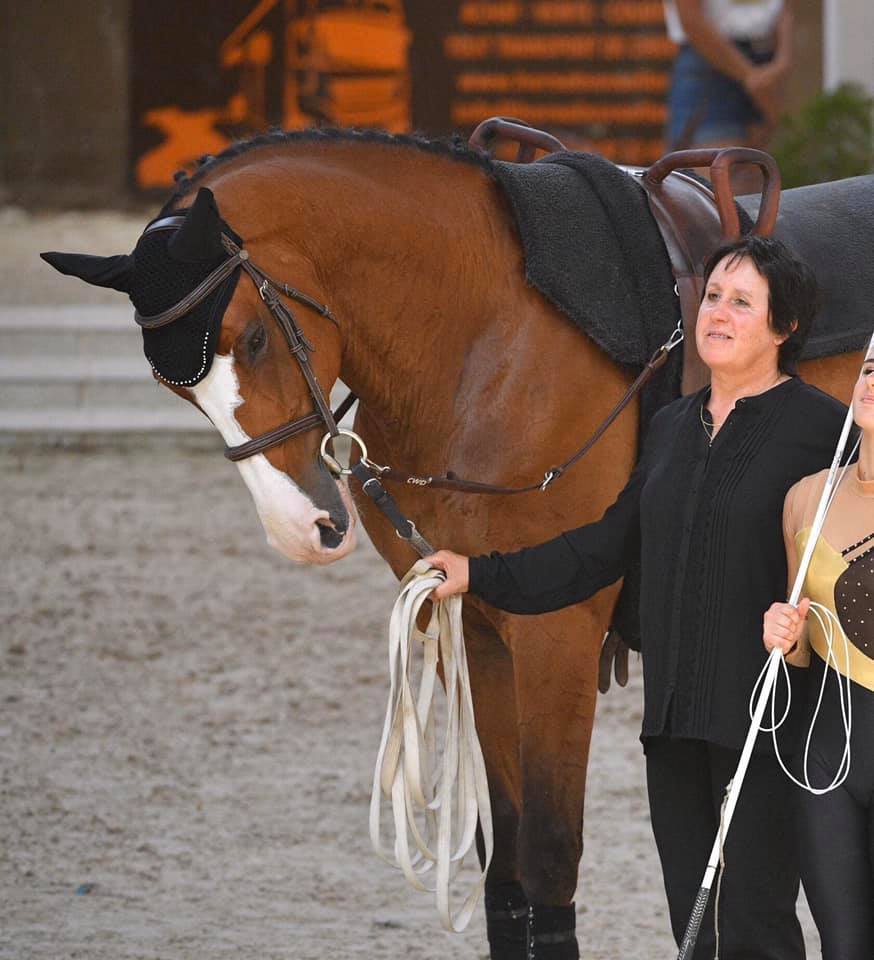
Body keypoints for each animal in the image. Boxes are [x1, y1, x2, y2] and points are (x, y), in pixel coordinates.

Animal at [46, 129, 864, 960]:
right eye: (174, 386)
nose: (303, 528)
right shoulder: (476, 624)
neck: (489, 341)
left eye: (251, 337)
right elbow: (503, 857)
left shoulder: (556, 636)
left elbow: (550, 851)